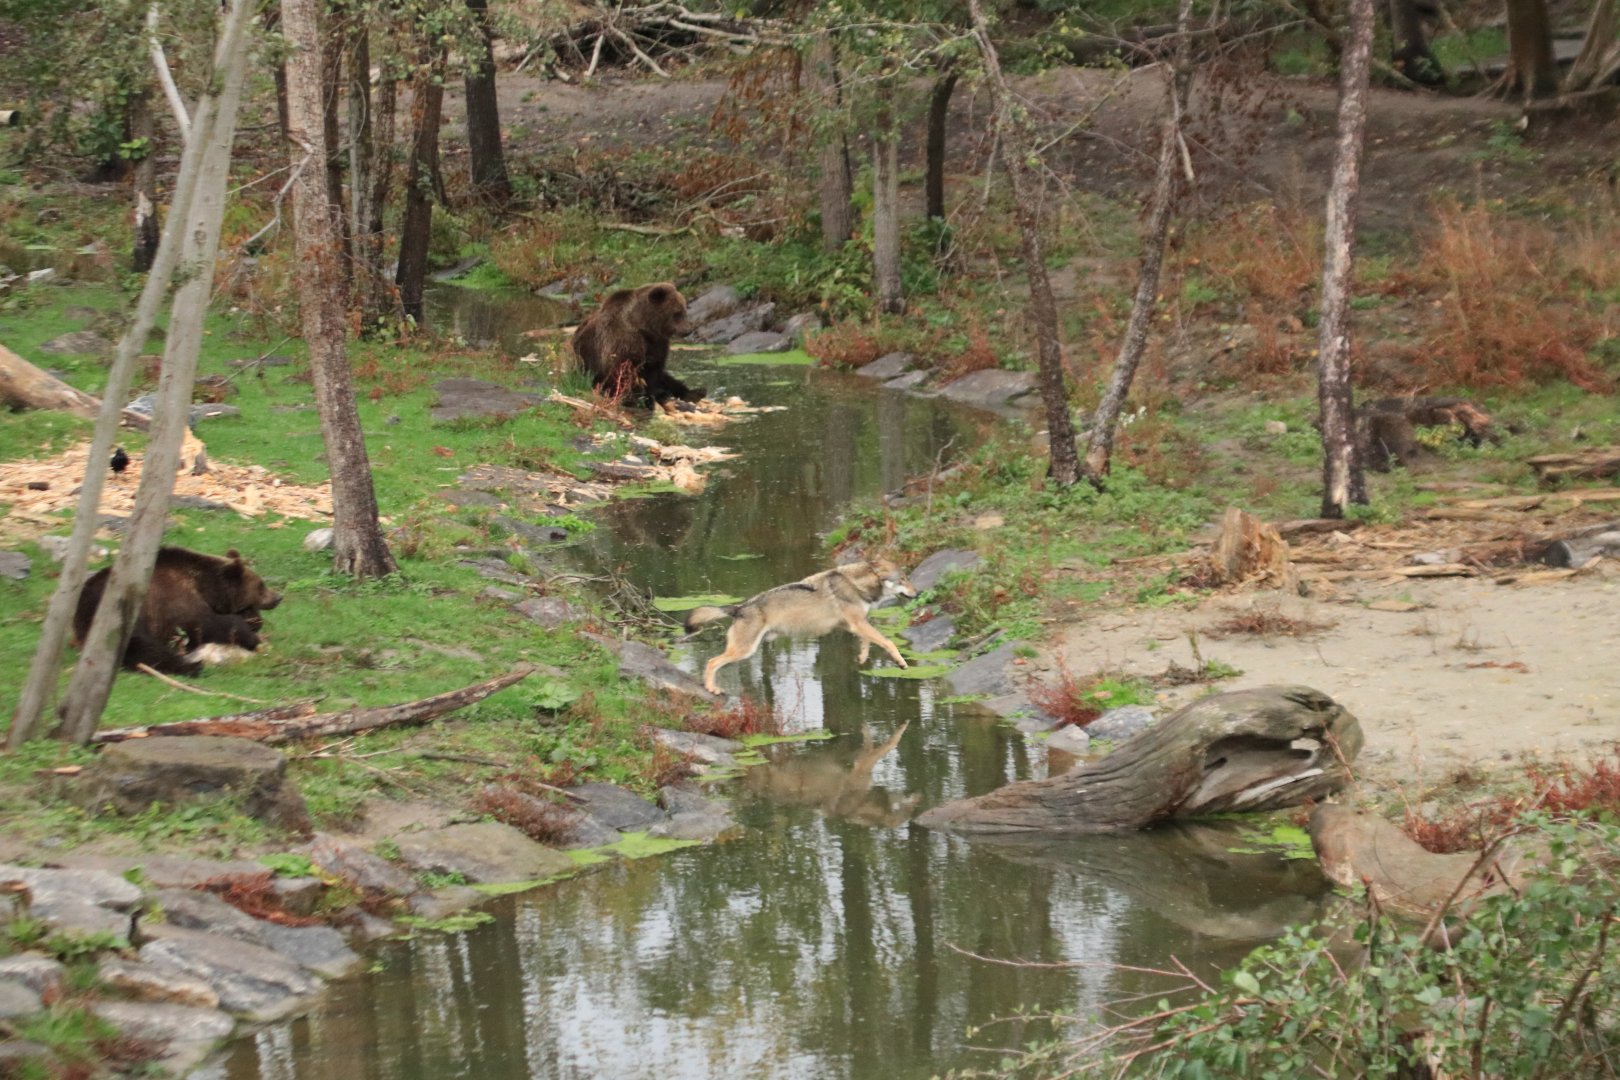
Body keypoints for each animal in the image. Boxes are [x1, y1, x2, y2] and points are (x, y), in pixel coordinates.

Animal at [73, 547, 281, 677]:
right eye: (261, 585)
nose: (278, 597)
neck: (205, 585)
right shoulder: (175, 600)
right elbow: (207, 624)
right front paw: (251, 637)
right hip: (119, 617)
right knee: (143, 648)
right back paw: (191, 666)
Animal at [571, 282, 705, 408]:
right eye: (677, 313)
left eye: (684, 310)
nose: (688, 330)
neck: (644, 327)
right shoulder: (623, 340)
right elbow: (624, 371)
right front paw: (638, 398)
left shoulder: (657, 344)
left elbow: (654, 370)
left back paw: (696, 392)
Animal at [684, 558, 918, 695]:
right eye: (903, 579)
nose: (918, 593)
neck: (856, 583)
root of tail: (739, 607)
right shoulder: (857, 623)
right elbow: (888, 642)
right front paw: (901, 663)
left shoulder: (854, 625)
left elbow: (867, 641)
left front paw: (862, 657)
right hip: (744, 651)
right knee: (712, 662)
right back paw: (711, 688)